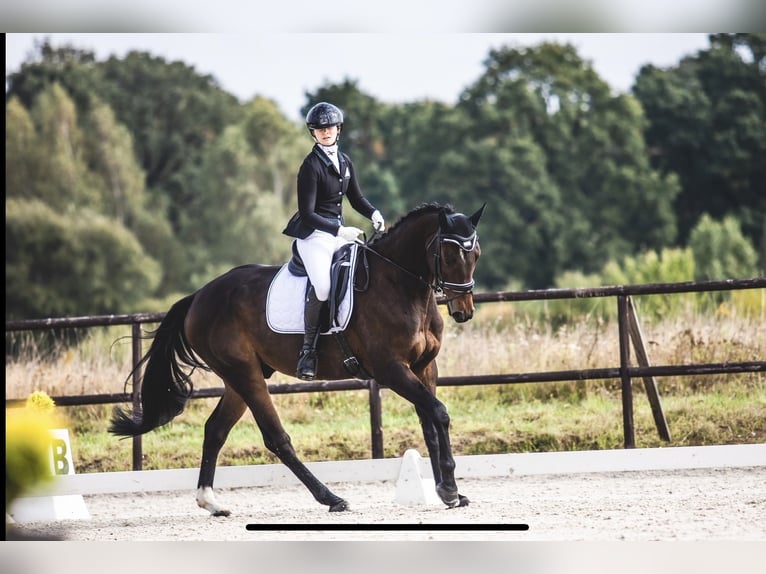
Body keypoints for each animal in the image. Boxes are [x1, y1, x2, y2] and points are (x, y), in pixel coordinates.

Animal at [109, 202, 485, 516]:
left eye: (476, 255)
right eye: (449, 255)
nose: (463, 311)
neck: (400, 285)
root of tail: (199, 296)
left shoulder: (425, 367)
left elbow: (430, 423)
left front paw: (448, 490)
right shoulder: (391, 370)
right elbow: (439, 413)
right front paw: (449, 490)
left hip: (239, 378)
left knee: (215, 430)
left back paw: (211, 502)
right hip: (245, 374)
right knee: (277, 439)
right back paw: (332, 498)